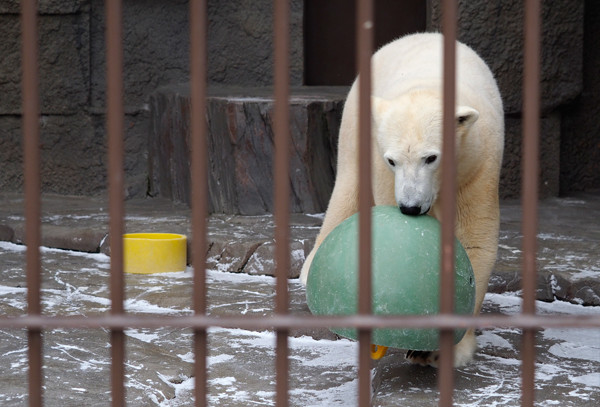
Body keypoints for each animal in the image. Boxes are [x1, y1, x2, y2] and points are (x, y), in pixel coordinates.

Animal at [298, 33, 502, 368]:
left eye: (431, 157)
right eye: (393, 160)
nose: (410, 207)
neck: (430, 85)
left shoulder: (476, 164)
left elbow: (474, 241)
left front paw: (446, 350)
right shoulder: (382, 164)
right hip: (357, 118)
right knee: (348, 180)